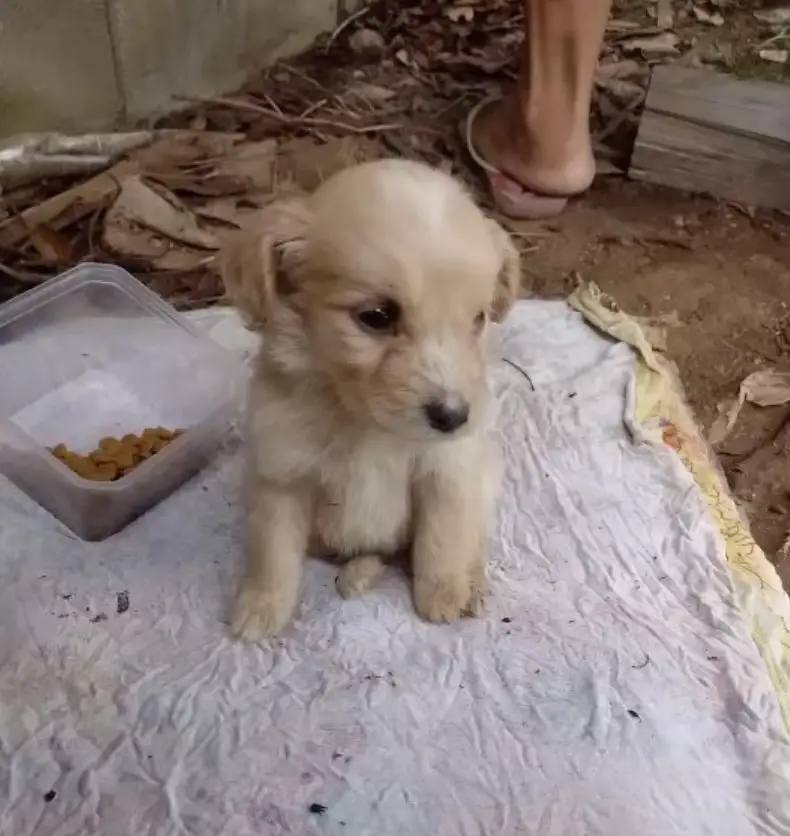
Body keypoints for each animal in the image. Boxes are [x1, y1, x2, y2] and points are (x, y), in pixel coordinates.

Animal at [223, 158, 520, 640]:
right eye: (377, 317)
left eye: (477, 319)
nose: (454, 417)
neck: (366, 425)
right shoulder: (281, 475)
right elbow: (271, 550)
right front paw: (261, 607)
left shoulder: (447, 469)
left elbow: (442, 536)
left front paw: (443, 594)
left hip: (485, 474)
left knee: (471, 533)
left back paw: (470, 583)